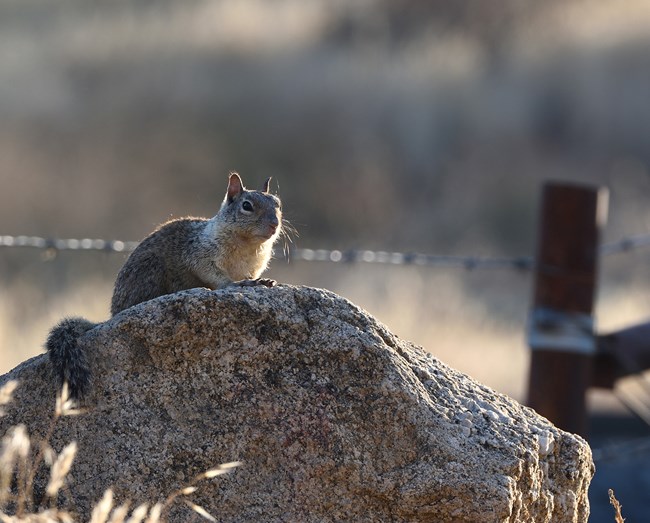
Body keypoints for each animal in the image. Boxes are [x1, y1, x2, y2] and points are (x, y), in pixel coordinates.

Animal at [46, 174, 284, 400]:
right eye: (247, 205)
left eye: (278, 204)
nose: (274, 224)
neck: (248, 246)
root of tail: (113, 314)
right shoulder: (201, 254)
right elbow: (215, 276)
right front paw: (237, 283)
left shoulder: (254, 266)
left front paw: (262, 281)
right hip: (150, 273)